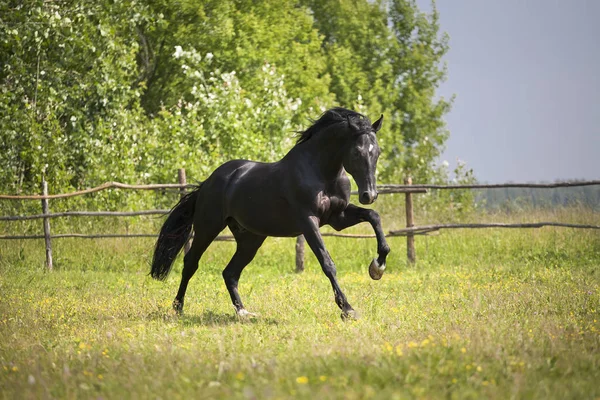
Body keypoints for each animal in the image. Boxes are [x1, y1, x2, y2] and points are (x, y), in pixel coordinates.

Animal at [151, 108, 390, 320]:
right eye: (357, 152)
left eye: (377, 152)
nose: (369, 195)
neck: (321, 173)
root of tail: (208, 182)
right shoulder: (308, 222)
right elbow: (327, 263)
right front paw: (348, 309)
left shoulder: (337, 217)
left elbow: (374, 217)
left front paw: (377, 268)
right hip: (208, 227)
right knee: (191, 263)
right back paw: (178, 307)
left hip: (251, 238)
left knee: (230, 272)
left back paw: (243, 312)